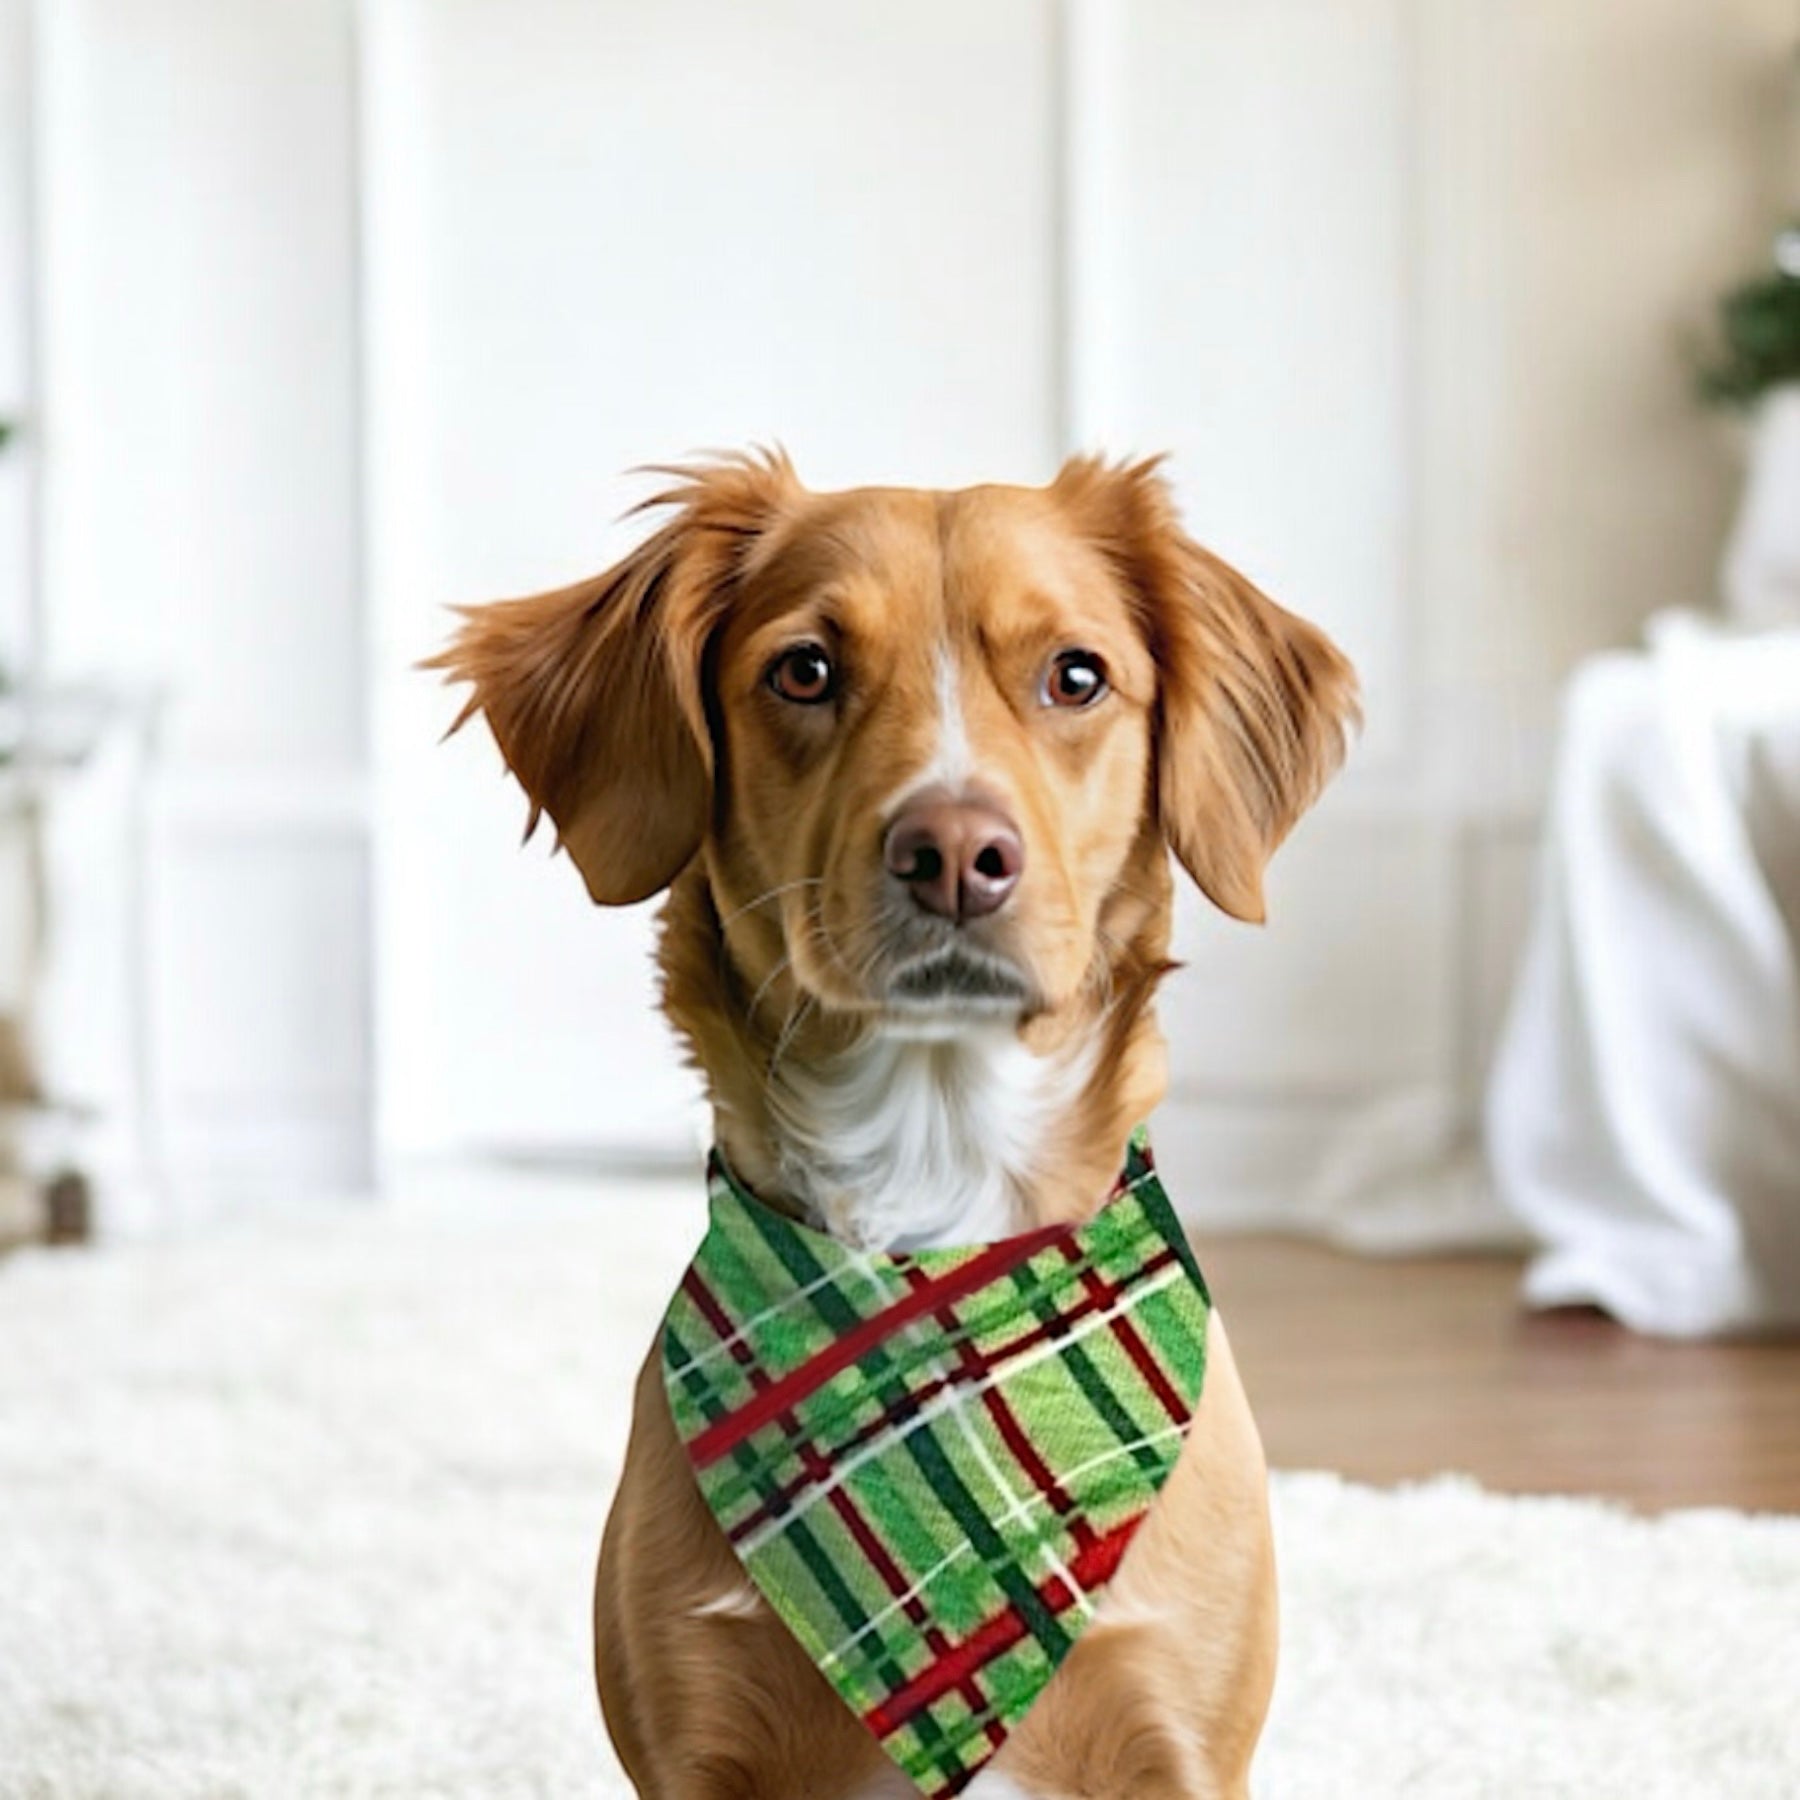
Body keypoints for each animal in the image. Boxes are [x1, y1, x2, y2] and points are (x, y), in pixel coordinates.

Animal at [439, 442, 1353, 1792]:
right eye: (805, 670)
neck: (938, 1188)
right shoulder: (694, 1738)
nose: (956, 851)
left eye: (1076, 674)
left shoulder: (1178, 1737)